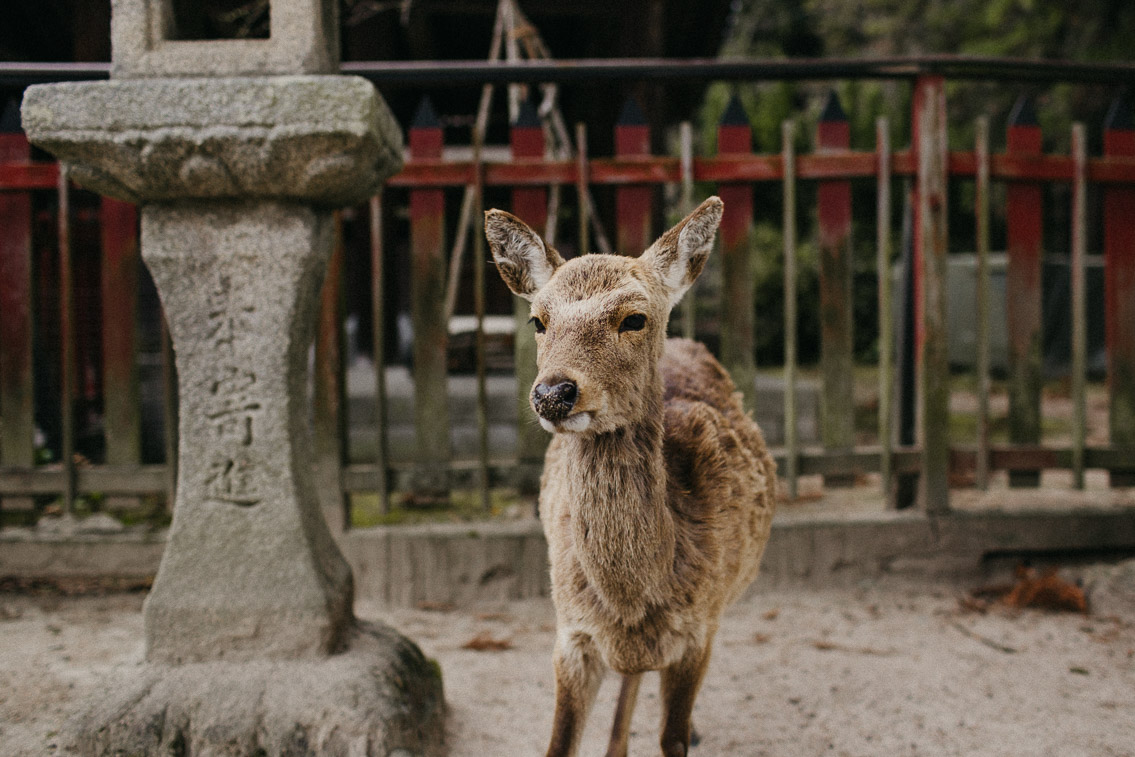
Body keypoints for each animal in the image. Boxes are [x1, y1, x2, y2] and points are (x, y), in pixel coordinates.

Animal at [483, 197, 776, 757]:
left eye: (634, 318)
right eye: (537, 320)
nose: (553, 392)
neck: (633, 597)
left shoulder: (698, 629)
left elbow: (673, 740)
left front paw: (684, 731)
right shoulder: (571, 633)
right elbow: (558, 745)